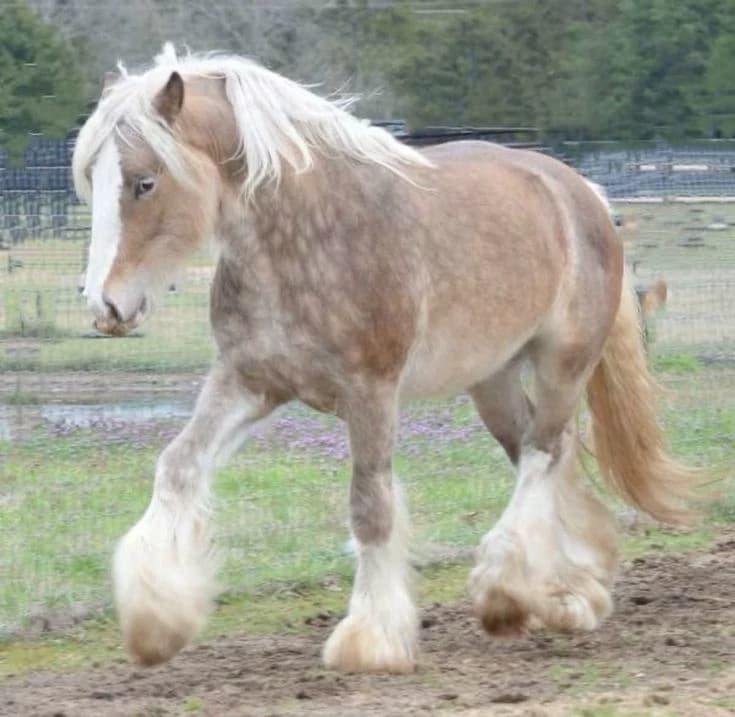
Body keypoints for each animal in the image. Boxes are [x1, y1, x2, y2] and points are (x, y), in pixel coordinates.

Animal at [72, 44, 695, 674]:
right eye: (92, 179)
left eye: (145, 182)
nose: (106, 306)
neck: (308, 239)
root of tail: (583, 192)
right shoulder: (249, 382)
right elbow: (178, 467)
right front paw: (156, 623)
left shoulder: (370, 391)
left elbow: (371, 507)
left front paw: (369, 639)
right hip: (491, 381)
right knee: (545, 452)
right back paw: (566, 594)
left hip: (562, 363)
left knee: (544, 451)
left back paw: (505, 589)